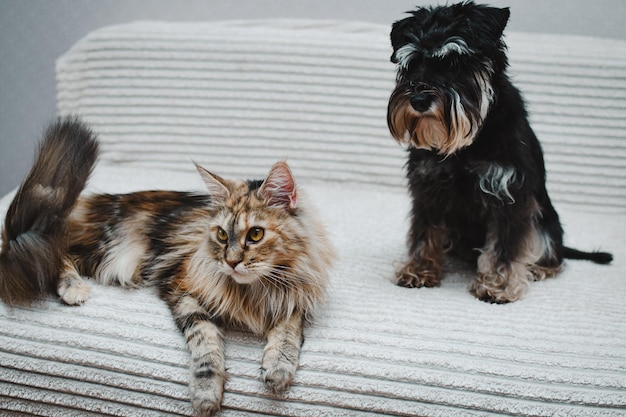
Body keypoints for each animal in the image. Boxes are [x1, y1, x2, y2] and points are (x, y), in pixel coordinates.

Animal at [0, 118, 336, 416]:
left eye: (255, 234)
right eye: (222, 235)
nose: (231, 261)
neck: (254, 291)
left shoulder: (296, 295)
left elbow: (288, 331)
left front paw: (278, 368)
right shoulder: (181, 288)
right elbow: (206, 341)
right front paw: (206, 394)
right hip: (101, 248)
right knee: (50, 254)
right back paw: (73, 288)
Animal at [386, 1, 608, 304]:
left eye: (454, 63)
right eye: (411, 64)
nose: (419, 99)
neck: (467, 145)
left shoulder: (508, 194)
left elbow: (506, 245)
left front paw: (498, 285)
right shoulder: (428, 190)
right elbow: (424, 233)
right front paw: (418, 269)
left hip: (545, 225)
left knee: (552, 253)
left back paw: (538, 268)